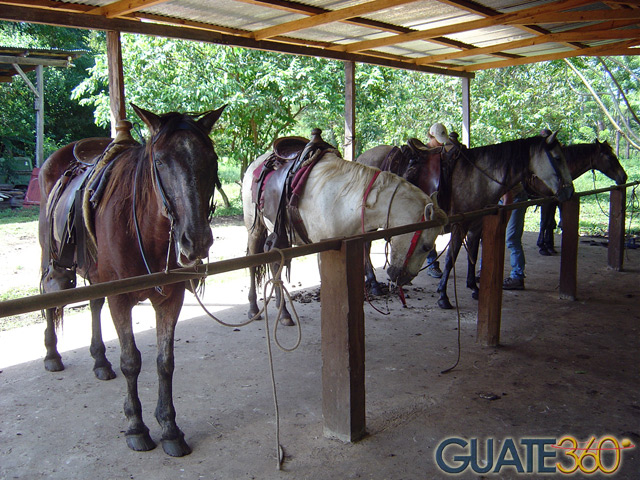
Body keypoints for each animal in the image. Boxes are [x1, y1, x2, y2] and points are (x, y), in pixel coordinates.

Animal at [38, 104, 225, 457]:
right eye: (160, 161)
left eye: (212, 158)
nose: (195, 241)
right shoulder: (120, 298)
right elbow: (131, 361)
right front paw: (136, 427)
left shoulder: (171, 297)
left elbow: (165, 362)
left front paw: (170, 428)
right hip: (51, 259)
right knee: (50, 295)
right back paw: (52, 355)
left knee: (93, 303)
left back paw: (99, 360)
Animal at [242, 146, 448, 323]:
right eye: (426, 247)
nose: (403, 279)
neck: (347, 200)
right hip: (255, 229)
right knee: (253, 261)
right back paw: (254, 308)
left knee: (275, 261)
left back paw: (281, 309)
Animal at [358, 132, 574, 309]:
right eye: (557, 158)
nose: (570, 192)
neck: (478, 178)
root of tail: (362, 157)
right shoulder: (459, 225)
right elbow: (450, 259)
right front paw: (443, 296)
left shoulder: (476, 224)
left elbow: (473, 254)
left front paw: (474, 287)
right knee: (366, 247)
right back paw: (374, 283)